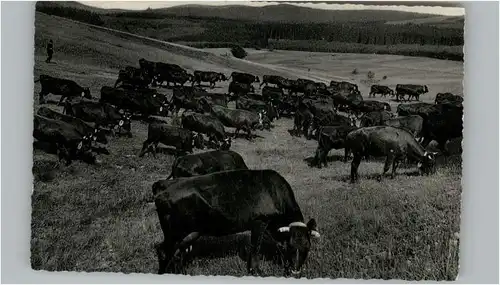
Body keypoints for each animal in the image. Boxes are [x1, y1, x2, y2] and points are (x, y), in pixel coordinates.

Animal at [152, 169, 322, 276]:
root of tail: (163, 185)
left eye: (307, 247)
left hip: (191, 232)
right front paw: (256, 272)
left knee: (177, 251)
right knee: (163, 250)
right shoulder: (259, 221)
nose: (295, 272)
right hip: (174, 232)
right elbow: (255, 247)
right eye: (291, 247)